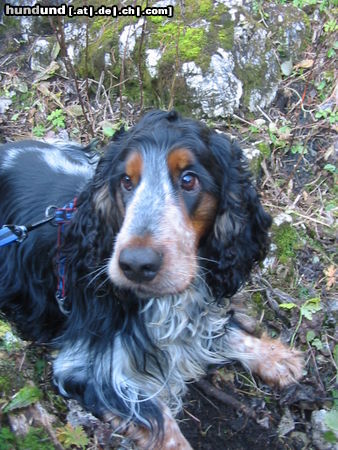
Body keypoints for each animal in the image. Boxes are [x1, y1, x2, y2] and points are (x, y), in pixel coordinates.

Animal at [0, 110, 302, 448]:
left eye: (189, 180)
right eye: (126, 181)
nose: (135, 265)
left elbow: (220, 330)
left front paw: (277, 358)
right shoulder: (87, 368)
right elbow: (163, 424)